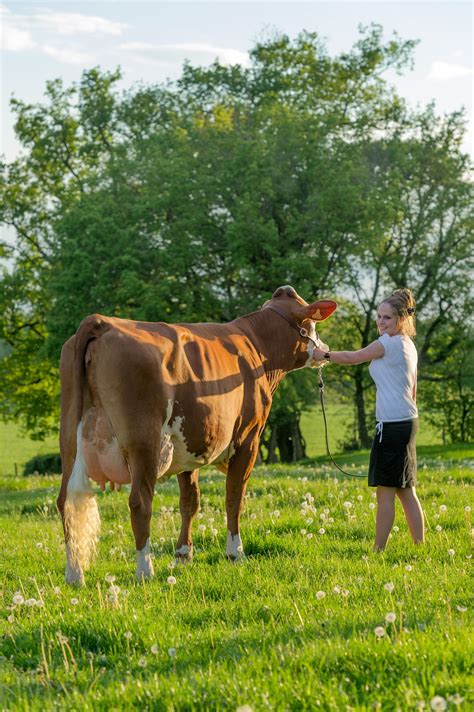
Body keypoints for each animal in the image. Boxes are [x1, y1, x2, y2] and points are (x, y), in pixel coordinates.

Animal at [56, 284, 336, 584]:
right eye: (312, 324)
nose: (325, 350)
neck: (256, 345)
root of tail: (102, 322)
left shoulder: (190, 443)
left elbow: (190, 500)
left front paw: (183, 555)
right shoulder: (248, 439)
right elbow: (234, 496)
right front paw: (235, 553)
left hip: (69, 439)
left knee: (66, 501)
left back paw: (74, 574)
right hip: (144, 441)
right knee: (140, 502)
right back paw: (145, 570)